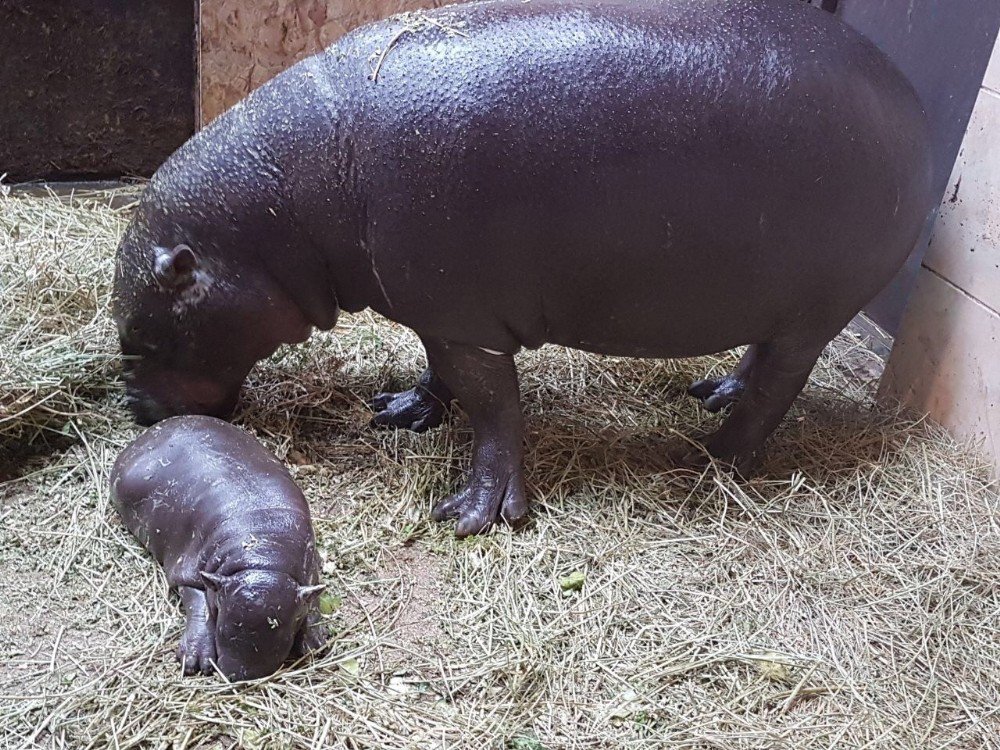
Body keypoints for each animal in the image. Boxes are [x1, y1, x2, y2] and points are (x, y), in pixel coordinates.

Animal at [111, 418, 326, 680]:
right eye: (222, 626)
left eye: (284, 633)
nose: (241, 675)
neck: (263, 557)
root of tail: (149, 433)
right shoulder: (189, 571)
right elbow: (198, 602)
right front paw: (195, 661)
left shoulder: (309, 571)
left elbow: (312, 596)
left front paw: (315, 642)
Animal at [113, 1, 932, 540]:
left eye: (143, 331)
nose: (138, 412)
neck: (291, 202)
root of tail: (910, 99)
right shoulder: (442, 310)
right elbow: (441, 373)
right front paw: (400, 411)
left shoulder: (465, 319)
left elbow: (494, 407)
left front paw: (474, 516)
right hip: (779, 297)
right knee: (759, 360)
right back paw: (713, 396)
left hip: (815, 310)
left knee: (779, 387)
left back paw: (711, 459)